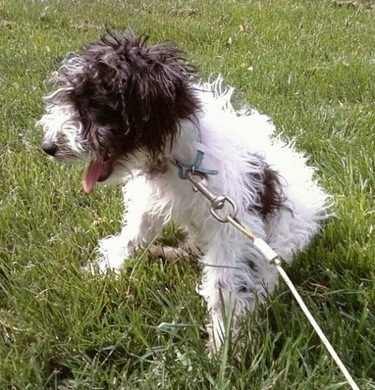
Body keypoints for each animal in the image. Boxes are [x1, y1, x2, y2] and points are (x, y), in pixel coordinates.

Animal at [39, 30, 330, 352]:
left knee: (263, 273)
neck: (182, 162)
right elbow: (131, 236)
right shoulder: (150, 202)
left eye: (94, 102)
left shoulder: (231, 226)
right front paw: (104, 269)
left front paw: (223, 343)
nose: (48, 147)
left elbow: (222, 284)